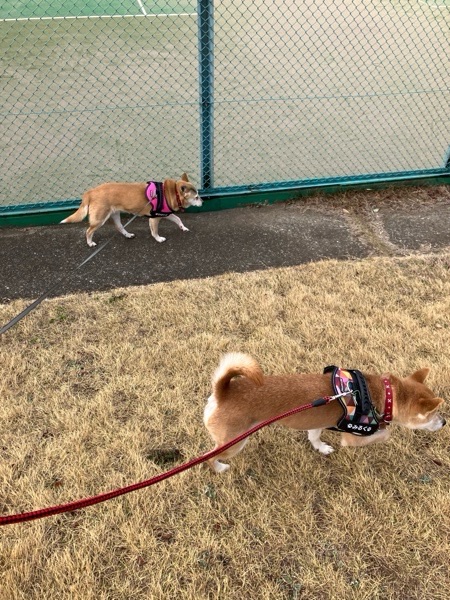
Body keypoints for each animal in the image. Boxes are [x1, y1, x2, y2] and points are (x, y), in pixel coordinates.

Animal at [61, 173, 202, 247]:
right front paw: (158, 239)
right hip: (100, 219)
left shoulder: (166, 214)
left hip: (115, 214)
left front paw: (183, 228)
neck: (170, 192)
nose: (203, 201)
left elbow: (177, 219)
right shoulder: (154, 218)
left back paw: (127, 235)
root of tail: (91, 192)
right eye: (196, 197)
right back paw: (90, 243)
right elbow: (154, 231)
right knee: (88, 231)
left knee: (119, 227)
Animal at [204, 353, 446, 473]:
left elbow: (314, 437)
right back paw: (220, 469)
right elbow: (384, 433)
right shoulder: (353, 437)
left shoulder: (317, 422)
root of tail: (223, 392)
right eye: (433, 415)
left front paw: (321, 448)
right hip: (234, 443)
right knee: (210, 457)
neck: (383, 395)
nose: (444, 423)